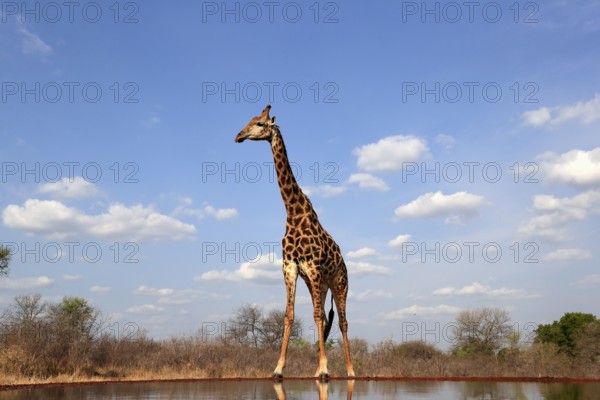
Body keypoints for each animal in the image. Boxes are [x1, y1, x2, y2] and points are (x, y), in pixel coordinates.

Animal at [234, 104, 354, 380]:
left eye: (260, 124)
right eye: (249, 120)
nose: (238, 136)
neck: (293, 212)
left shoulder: (312, 266)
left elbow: (319, 316)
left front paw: (325, 370)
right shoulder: (290, 267)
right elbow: (289, 315)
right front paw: (279, 368)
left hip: (339, 282)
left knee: (342, 322)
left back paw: (350, 370)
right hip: (317, 285)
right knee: (324, 317)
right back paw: (320, 368)